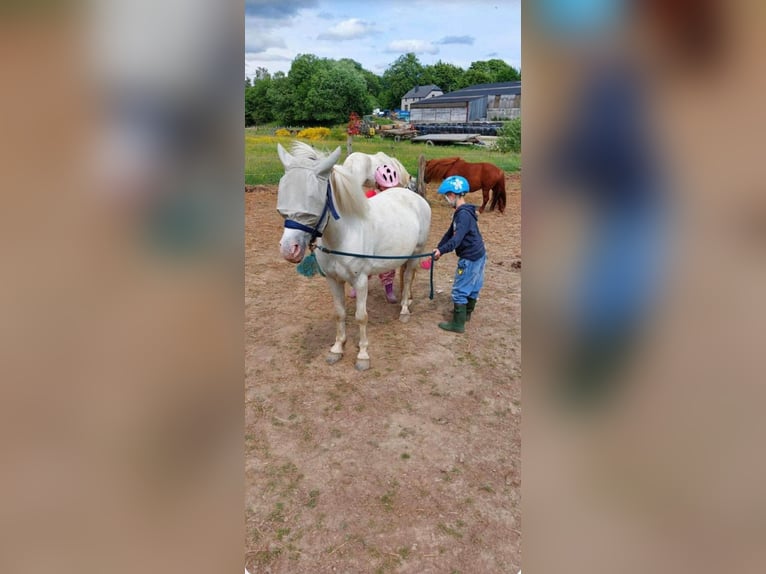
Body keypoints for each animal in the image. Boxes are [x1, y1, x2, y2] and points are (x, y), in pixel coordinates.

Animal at [276, 141, 431, 371]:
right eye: (283, 197)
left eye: (314, 200)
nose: (289, 249)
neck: (344, 235)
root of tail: (415, 197)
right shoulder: (333, 280)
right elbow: (340, 313)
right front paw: (337, 348)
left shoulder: (360, 281)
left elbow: (361, 317)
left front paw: (363, 355)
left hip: (417, 252)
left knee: (409, 275)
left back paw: (404, 309)